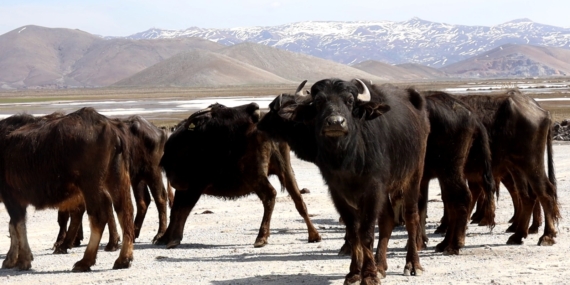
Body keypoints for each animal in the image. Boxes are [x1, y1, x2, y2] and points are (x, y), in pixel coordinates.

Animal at [0, 107, 134, 270]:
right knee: (125, 212)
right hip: (117, 177)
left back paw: (85, 260)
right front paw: (12, 258)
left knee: (98, 216)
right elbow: (13, 227)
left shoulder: (12, 198)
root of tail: (112, 129)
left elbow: (18, 226)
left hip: (90, 184)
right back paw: (123, 258)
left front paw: (22, 260)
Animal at [54, 115, 172, 253]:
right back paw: (134, 232)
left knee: (160, 198)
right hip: (137, 177)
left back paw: (159, 234)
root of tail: (158, 131)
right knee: (143, 201)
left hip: (152, 172)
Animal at [268, 78, 428, 284]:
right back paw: (381, 266)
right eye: (319, 101)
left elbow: (366, 234)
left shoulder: (373, 189)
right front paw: (354, 273)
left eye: (350, 101)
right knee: (387, 219)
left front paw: (368, 275)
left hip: (413, 176)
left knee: (411, 217)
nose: (336, 122)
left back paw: (412, 264)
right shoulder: (338, 193)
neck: (348, 158)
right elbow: (353, 233)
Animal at [454, 90, 556, 244]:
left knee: (544, 192)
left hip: (531, 164)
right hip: (516, 167)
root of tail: (543, 112)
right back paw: (519, 233)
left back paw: (546, 235)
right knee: (526, 195)